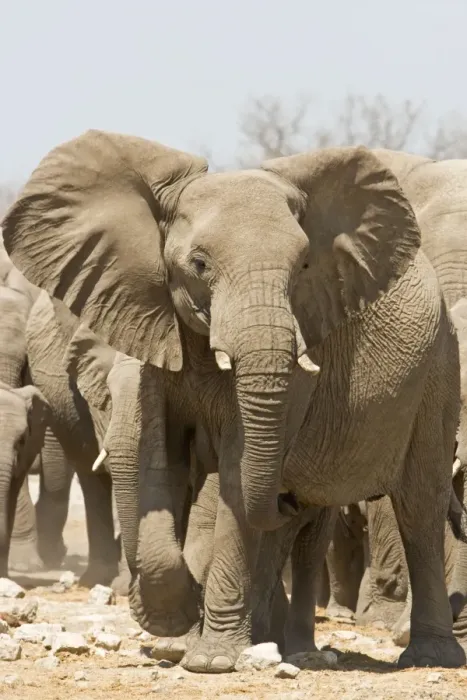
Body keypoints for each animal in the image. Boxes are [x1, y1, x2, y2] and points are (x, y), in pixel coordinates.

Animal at [2, 131, 463, 672]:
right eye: (199, 265)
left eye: (303, 266)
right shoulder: (157, 333)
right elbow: (161, 460)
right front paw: (173, 629)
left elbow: (237, 474)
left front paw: (210, 660)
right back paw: (270, 639)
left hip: (439, 368)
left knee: (419, 503)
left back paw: (425, 655)